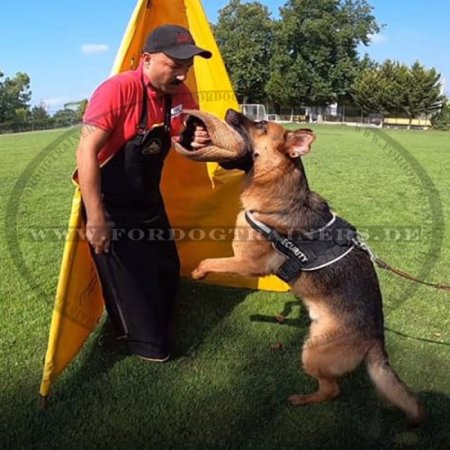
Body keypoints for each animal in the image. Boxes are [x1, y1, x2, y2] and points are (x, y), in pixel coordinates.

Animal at [192, 109, 424, 426]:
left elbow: (211, 261)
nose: (229, 112)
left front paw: (198, 271)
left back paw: (302, 399)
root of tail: (377, 339)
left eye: (260, 125)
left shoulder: (248, 263)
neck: (280, 192)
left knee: (332, 390)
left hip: (312, 352)